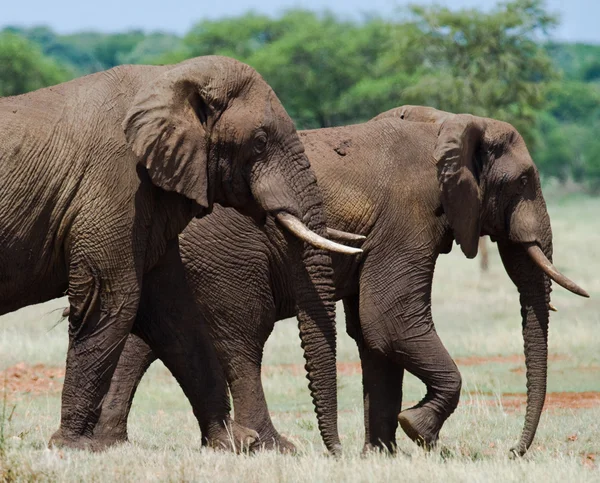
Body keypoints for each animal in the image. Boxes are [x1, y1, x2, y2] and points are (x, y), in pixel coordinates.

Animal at [0, 55, 360, 454]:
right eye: (260, 142)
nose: (338, 453)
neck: (168, 75)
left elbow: (174, 313)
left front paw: (233, 442)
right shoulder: (116, 183)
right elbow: (111, 299)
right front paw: (72, 447)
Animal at [89, 104, 584, 456]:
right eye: (524, 181)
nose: (515, 451)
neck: (452, 123)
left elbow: (371, 333)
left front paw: (382, 456)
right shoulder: (409, 216)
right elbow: (387, 320)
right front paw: (418, 431)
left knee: (158, 337)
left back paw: (114, 443)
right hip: (225, 253)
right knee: (242, 337)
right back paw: (271, 448)